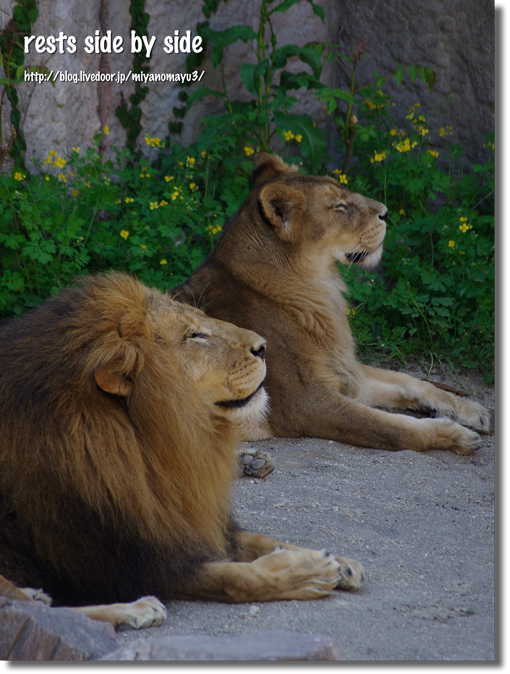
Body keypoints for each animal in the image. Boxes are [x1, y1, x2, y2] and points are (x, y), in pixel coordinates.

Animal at [0, 270, 362, 628]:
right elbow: (235, 577)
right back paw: (136, 609)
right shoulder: (125, 559)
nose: (264, 346)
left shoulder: (180, 516)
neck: (157, 442)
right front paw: (308, 570)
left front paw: (340, 561)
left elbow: (259, 539)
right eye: (194, 335)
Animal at [171, 155, 494, 454]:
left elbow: (411, 381)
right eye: (339, 206)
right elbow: (392, 428)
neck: (319, 288)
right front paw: (454, 435)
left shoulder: (343, 368)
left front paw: (470, 410)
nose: (386, 212)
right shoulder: (305, 404)